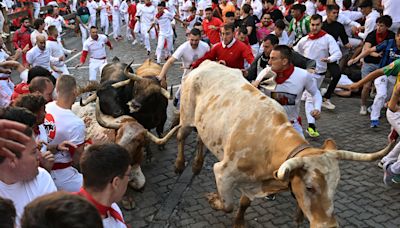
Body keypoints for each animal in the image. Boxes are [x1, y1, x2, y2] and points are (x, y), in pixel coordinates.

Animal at [176, 60, 394, 228]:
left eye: (335, 185)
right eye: (309, 187)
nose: (329, 225)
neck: (269, 145)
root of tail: (207, 63)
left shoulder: (252, 182)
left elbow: (244, 203)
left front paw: (239, 221)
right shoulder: (223, 173)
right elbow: (227, 204)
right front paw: (214, 200)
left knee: (201, 139)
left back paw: (196, 164)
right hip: (186, 117)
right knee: (181, 136)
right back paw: (180, 165)